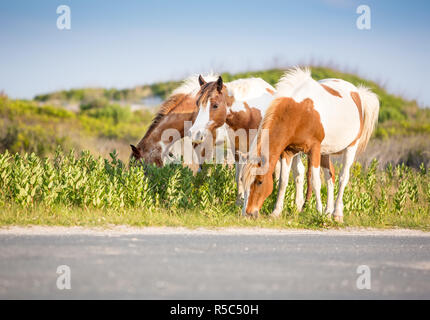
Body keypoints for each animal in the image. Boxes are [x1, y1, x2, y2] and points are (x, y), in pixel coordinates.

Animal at [242, 67, 380, 222]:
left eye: (259, 181)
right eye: (243, 181)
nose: (248, 213)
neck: (300, 111)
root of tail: (358, 93)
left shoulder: (314, 149)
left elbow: (315, 181)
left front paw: (318, 212)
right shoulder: (288, 152)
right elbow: (283, 181)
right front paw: (276, 212)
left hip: (350, 147)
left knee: (343, 178)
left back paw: (337, 213)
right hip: (325, 152)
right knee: (330, 176)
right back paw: (328, 212)